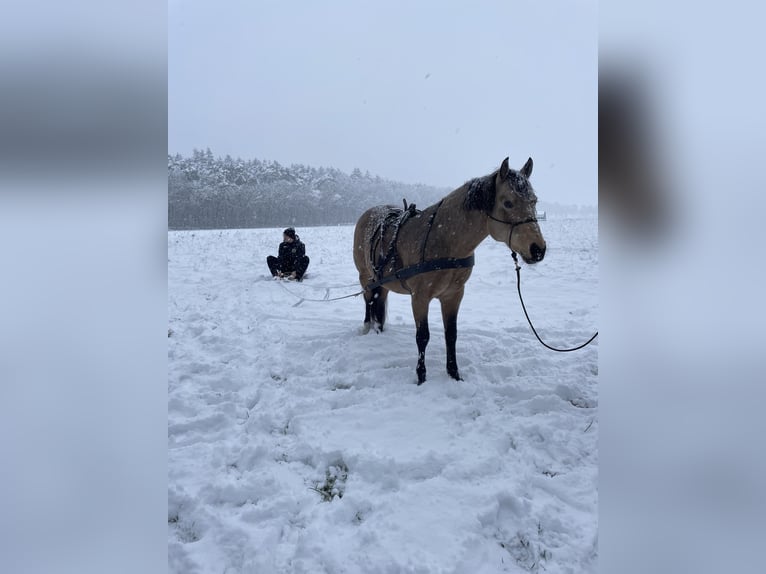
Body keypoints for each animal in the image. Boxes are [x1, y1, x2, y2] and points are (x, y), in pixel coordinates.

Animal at [353, 157, 547, 384]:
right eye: (508, 202)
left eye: (534, 201)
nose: (538, 249)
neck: (445, 241)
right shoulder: (419, 297)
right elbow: (422, 336)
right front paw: (421, 376)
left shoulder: (453, 295)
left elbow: (451, 334)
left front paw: (454, 373)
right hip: (365, 276)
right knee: (369, 301)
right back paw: (367, 327)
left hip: (382, 281)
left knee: (379, 300)